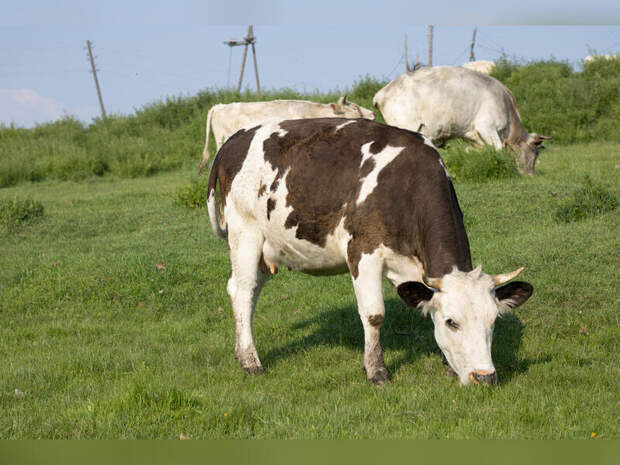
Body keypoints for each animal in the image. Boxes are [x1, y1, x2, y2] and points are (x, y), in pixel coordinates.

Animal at [207, 118, 532, 386]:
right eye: (452, 322)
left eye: (494, 320)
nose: (484, 376)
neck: (405, 184)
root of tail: (236, 138)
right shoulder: (363, 251)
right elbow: (374, 314)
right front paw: (376, 371)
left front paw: (449, 366)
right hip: (244, 233)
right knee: (243, 291)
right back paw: (250, 361)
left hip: (267, 247)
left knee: (247, 291)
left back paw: (241, 352)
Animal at [370, 65, 548, 174]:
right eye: (535, 153)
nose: (530, 175)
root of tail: (381, 94)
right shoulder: (486, 127)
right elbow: (498, 149)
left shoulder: (472, 134)